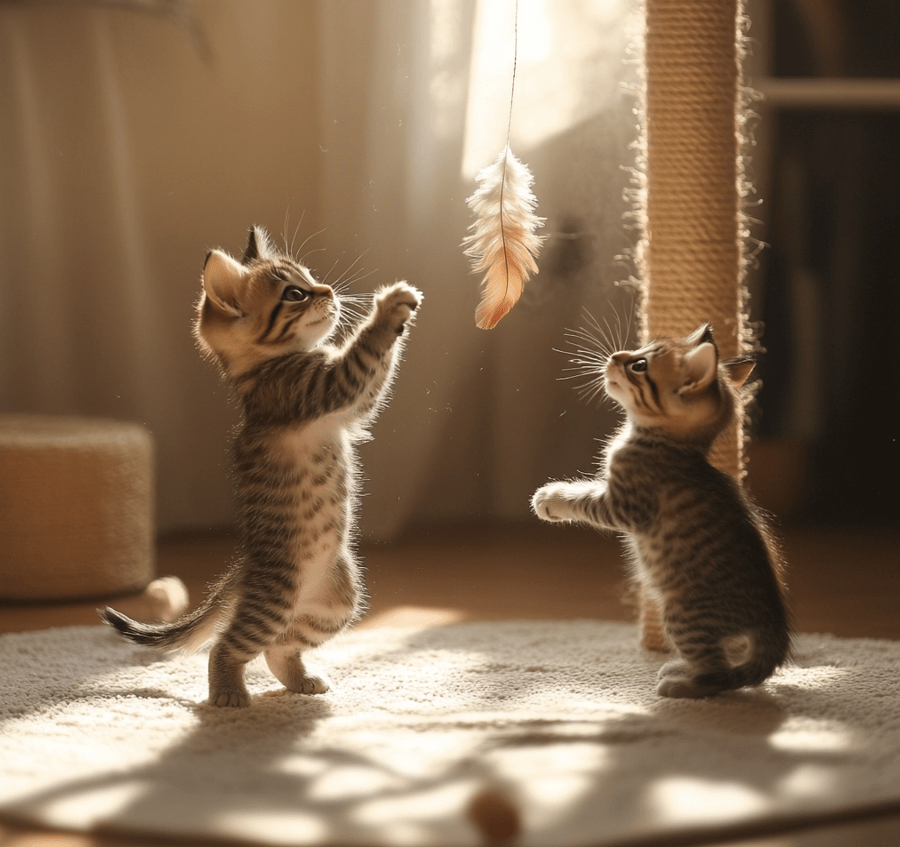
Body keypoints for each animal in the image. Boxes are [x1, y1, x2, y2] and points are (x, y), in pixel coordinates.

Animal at [98, 227, 422, 708]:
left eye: (311, 277)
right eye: (295, 293)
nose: (329, 291)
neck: (263, 370)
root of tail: (243, 567)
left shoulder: (349, 407)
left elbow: (375, 378)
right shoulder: (323, 388)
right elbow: (363, 355)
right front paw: (389, 307)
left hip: (337, 601)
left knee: (280, 647)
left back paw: (299, 680)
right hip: (275, 598)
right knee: (227, 645)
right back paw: (229, 693)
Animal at [532, 322, 792, 700]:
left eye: (639, 365)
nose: (615, 356)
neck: (669, 445)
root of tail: (773, 624)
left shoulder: (624, 505)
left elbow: (583, 498)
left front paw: (551, 498)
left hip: (682, 614)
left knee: (717, 675)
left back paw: (681, 684)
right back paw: (681, 668)